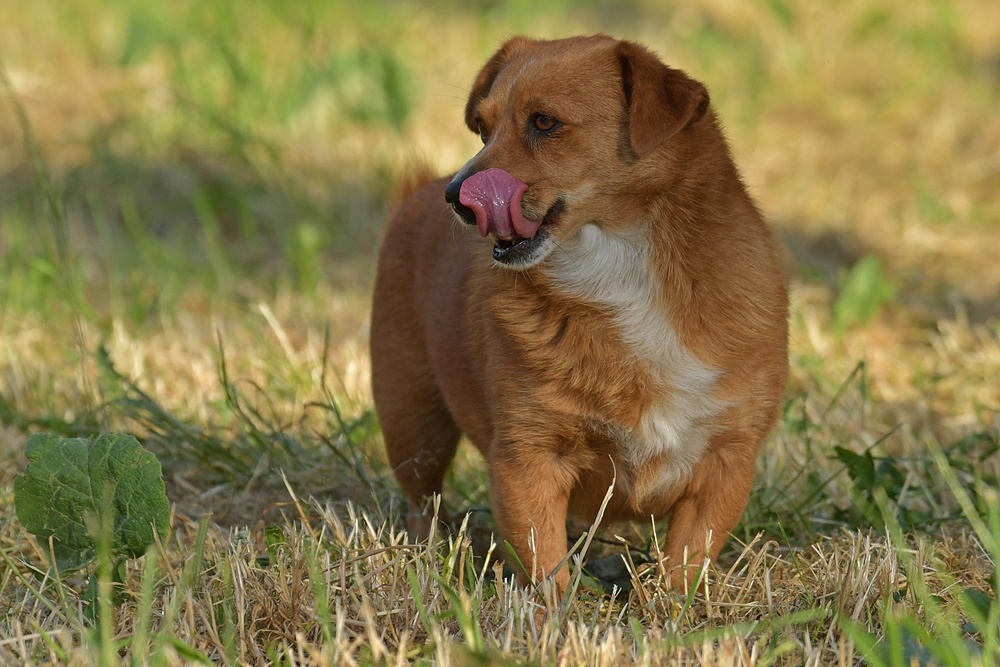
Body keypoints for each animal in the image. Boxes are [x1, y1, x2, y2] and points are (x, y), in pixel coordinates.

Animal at [370, 35, 788, 588]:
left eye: (545, 122)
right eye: (482, 128)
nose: (456, 197)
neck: (621, 270)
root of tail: (415, 193)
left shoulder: (725, 462)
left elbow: (683, 566)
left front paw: (672, 609)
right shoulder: (529, 459)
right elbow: (545, 569)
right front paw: (555, 612)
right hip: (413, 423)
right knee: (423, 503)